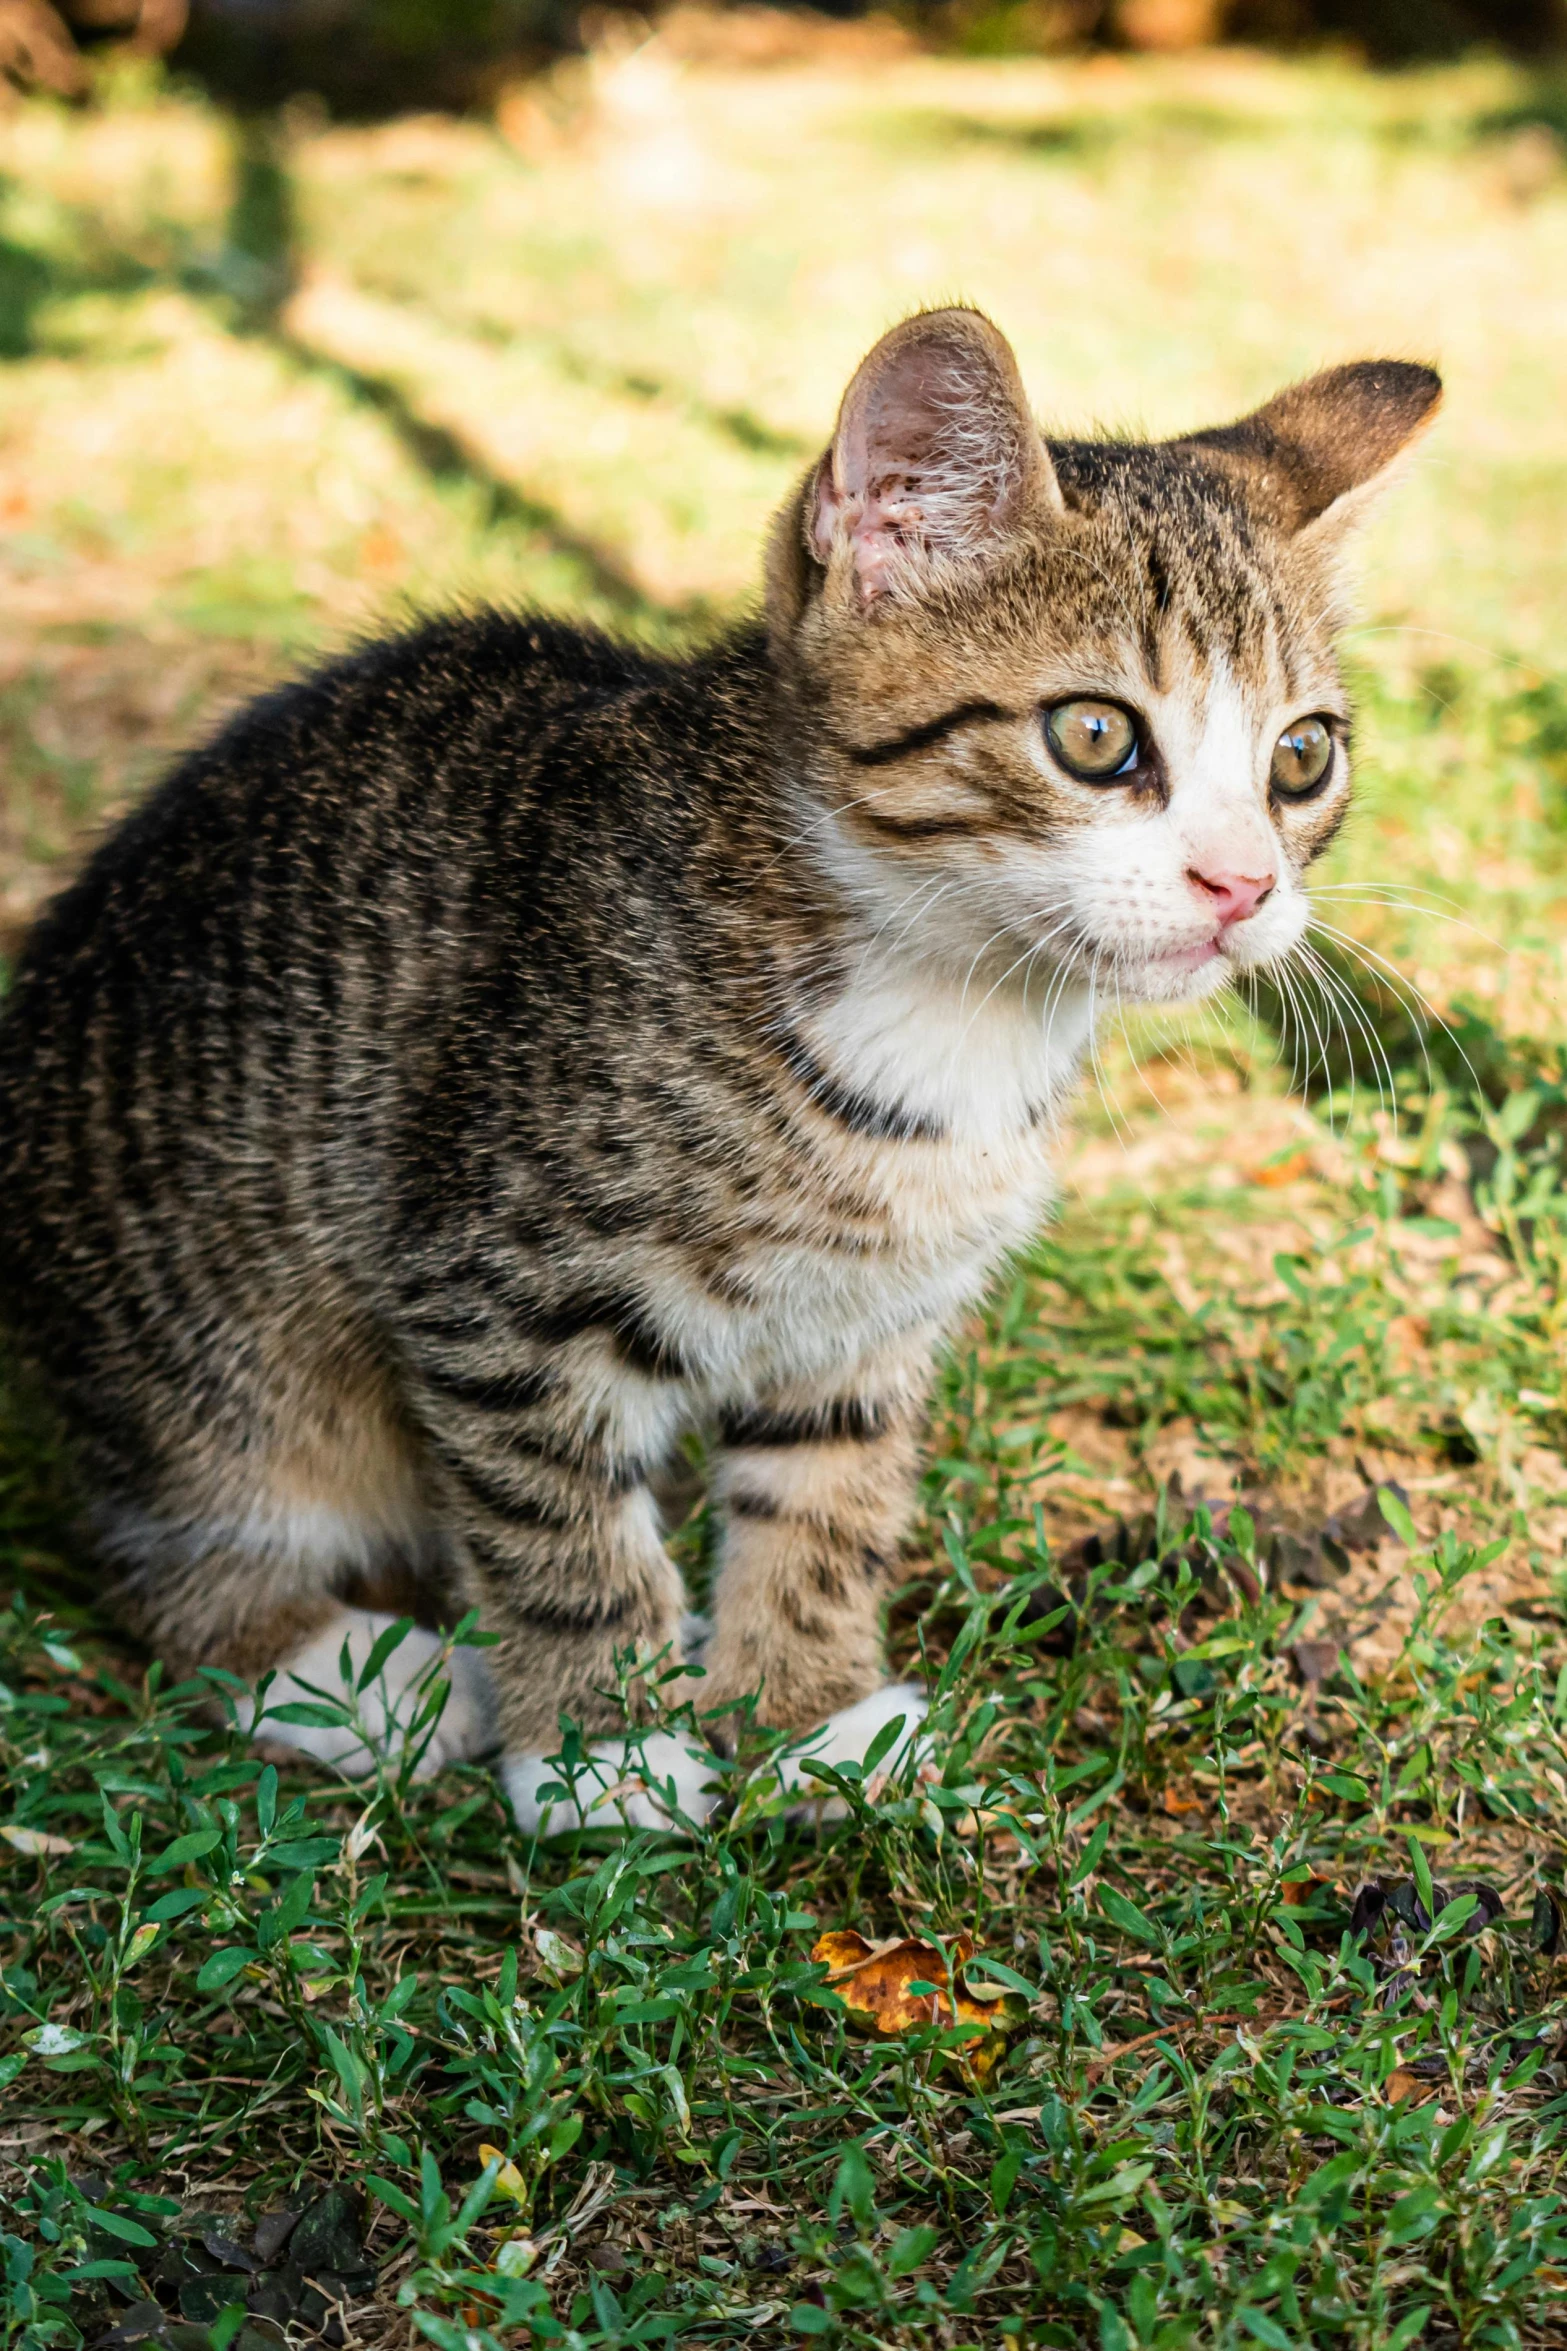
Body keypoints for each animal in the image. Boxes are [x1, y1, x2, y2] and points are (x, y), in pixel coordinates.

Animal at [0, 303, 1437, 1824]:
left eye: (1301, 758)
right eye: (1094, 735)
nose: (1241, 885)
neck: (954, 1006)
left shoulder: (869, 1317)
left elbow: (829, 1499)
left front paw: (811, 1715)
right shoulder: (491, 1286)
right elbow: (558, 1522)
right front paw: (602, 1758)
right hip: (214, 1340)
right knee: (170, 1546)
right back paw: (351, 1670)